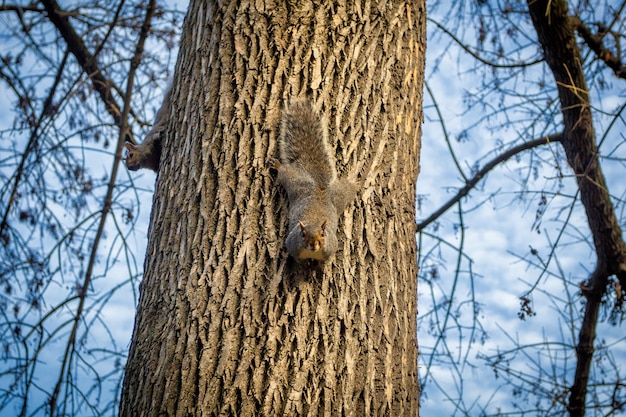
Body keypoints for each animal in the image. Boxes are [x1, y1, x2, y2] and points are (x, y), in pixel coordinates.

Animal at [272, 99, 356, 262]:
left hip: (336, 197)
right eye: (303, 234)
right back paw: (279, 166)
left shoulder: (330, 246)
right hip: (296, 183)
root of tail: (319, 185)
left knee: (346, 190)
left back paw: (354, 182)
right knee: (286, 173)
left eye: (322, 234)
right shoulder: (292, 245)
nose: (313, 244)